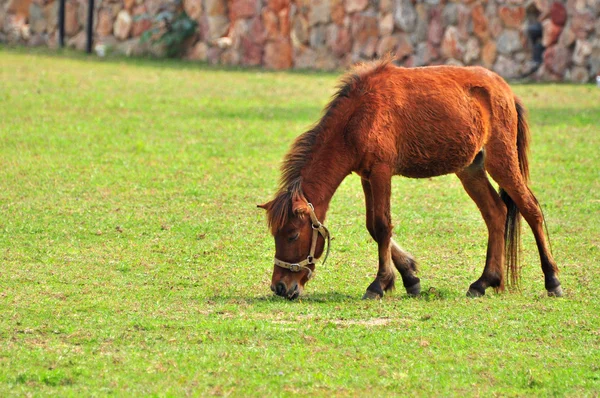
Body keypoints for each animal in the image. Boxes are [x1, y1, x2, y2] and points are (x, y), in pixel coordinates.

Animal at [258, 59, 564, 300]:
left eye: (292, 234)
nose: (280, 287)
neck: (359, 115)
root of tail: (507, 91)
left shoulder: (381, 172)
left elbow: (382, 226)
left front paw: (379, 284)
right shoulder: (367, 176)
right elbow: (373, 227)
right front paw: (409, 278)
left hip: (501, 162)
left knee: (531, 209)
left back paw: (552, 280)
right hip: (471, 169)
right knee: (496, 213)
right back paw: (485, 281)